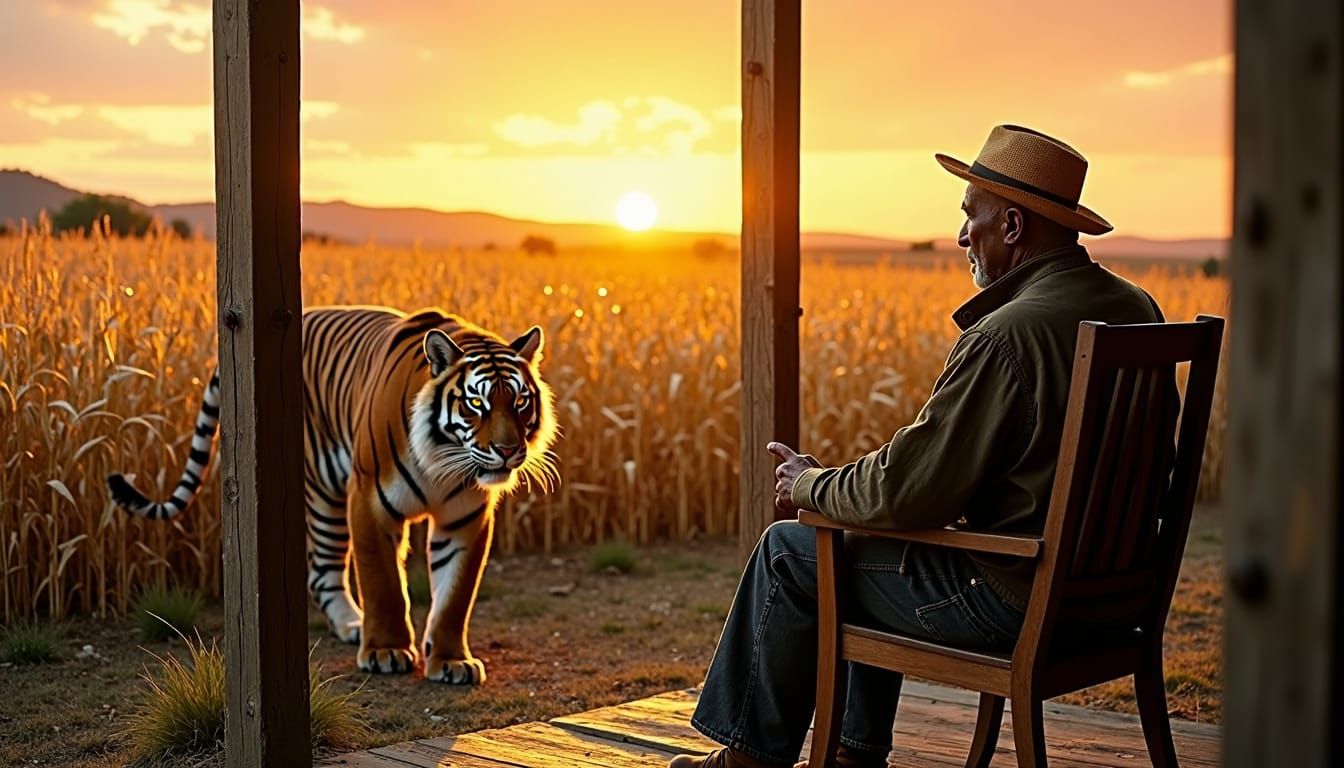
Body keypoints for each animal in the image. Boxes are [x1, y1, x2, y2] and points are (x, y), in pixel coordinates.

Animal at [106, 306, 559, 684]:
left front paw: (450, 660)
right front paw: (386, 651)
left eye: (520, 401)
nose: (507, 450)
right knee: (322, 570)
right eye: (476, 403)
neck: (444, 462)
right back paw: (355, 626)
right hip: (325, 494)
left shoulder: (466, 518)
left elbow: (454, 595)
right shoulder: (371, 500)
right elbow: (382, 583)